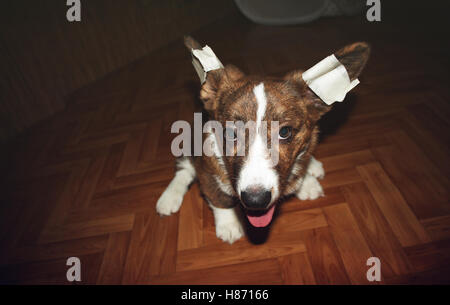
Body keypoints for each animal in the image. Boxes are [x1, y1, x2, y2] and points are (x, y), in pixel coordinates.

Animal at [156, 36, 370, 243]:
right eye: (231, 133)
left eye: (285, 131)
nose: (255, 201)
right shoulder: (207, 172)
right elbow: (219, 199)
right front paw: (228, 225)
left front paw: (305, 180)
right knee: (184, 167)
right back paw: (169, 198)